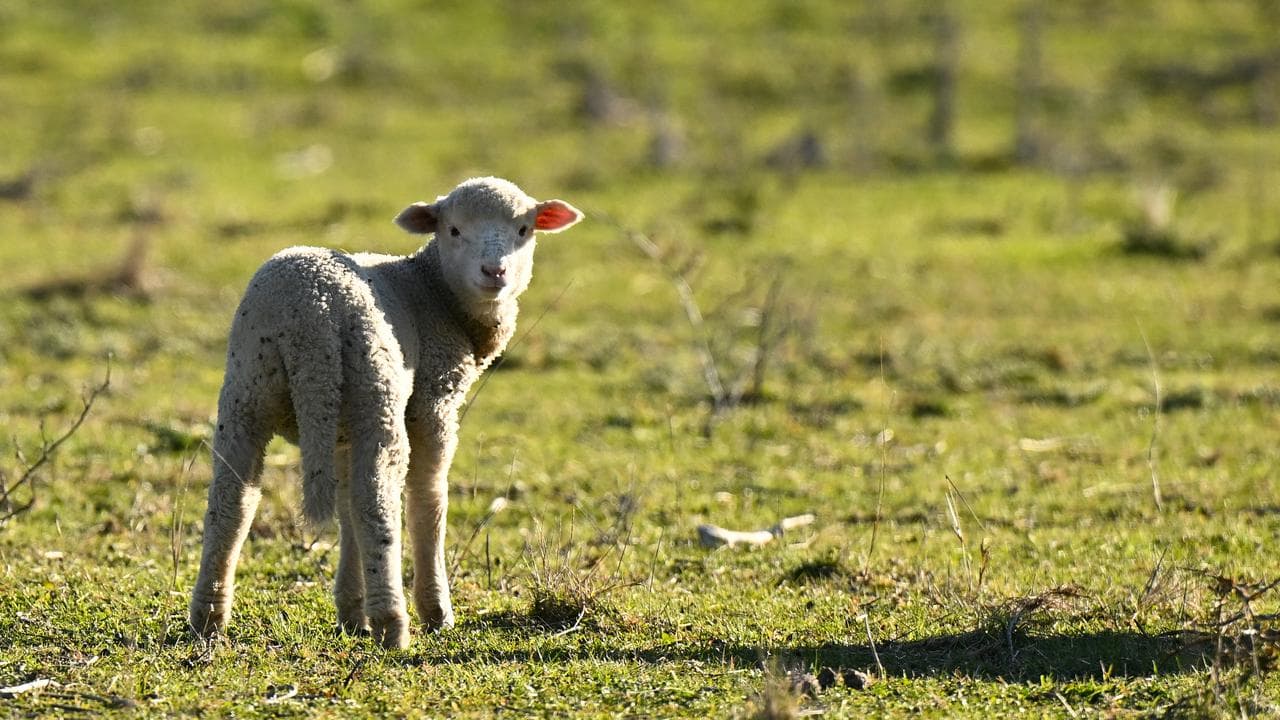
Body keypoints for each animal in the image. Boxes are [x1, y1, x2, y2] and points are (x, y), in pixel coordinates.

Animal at [189, 177, 583, 648]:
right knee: (377, 503)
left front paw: (350, 611)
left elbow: (344, 508)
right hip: (376, 392)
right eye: (453, 230)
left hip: (251, 391)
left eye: (524, 229)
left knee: (232, 501)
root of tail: (311, 315)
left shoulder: (342, 430)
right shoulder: (434, 400)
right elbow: (428, 501)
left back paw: (208, 618)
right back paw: (393, 623)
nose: (495, 272)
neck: (431, 290)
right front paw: (435, 612)